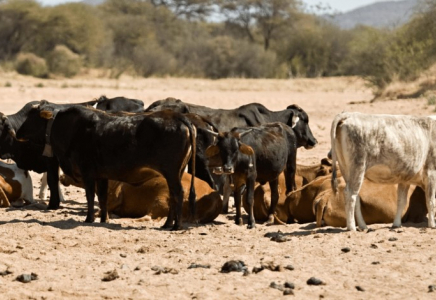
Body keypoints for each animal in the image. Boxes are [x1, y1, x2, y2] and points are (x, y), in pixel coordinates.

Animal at [15, 102, 196, 231]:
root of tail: (177, 117)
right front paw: (103, 219)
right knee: (173, 195)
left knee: (178, 193)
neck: (70, 128)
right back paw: (167, 224)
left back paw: (176, 226)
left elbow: (90, 196)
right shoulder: (101, 176)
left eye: (32, 116)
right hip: (177, 173)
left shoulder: (87, 173)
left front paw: (89, 219)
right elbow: (102, 198)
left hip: (171, 172)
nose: (18, 133)